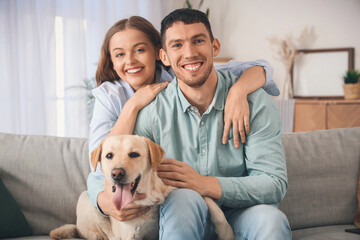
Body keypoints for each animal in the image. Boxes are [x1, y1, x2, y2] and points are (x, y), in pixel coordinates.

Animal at [50, 135, 233, 240]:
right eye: (109, 155)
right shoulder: (129, 234)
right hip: (85, 201)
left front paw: (227, 232)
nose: (116, 174)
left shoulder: (184, 184)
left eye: (134, 154)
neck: (147, 195)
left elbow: (213, 206)